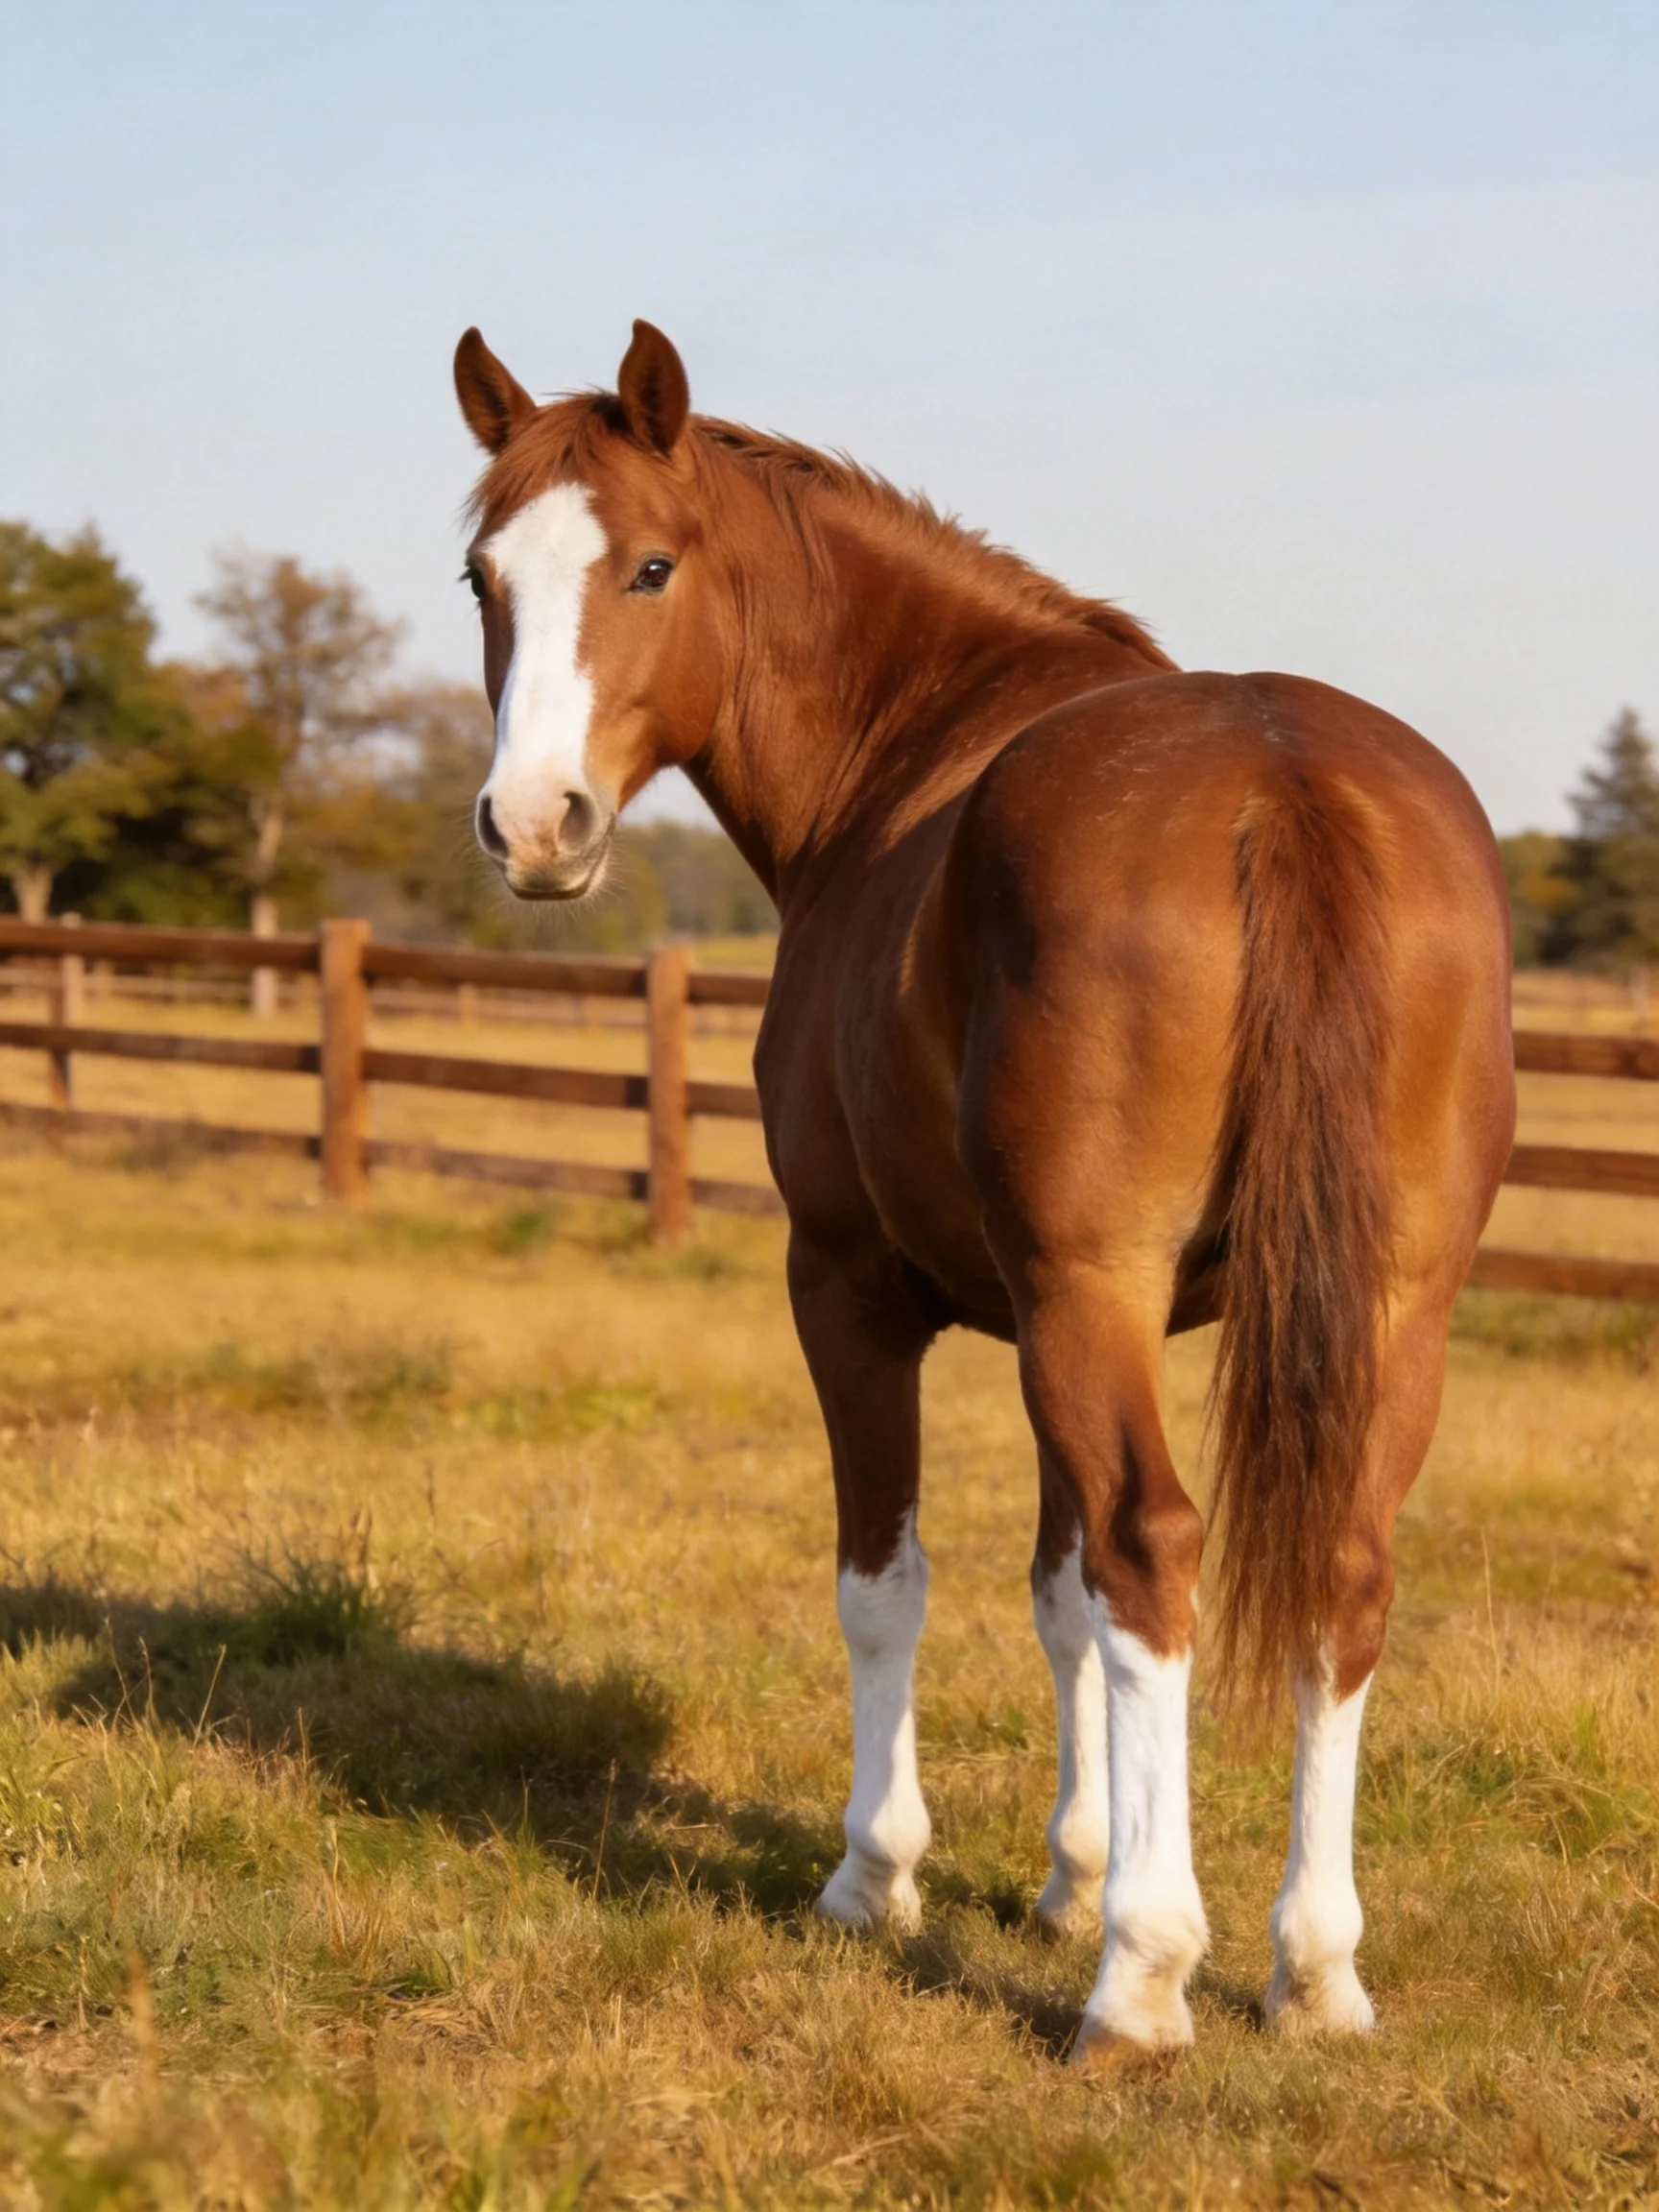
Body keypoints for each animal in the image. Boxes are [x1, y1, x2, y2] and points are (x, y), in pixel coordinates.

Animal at [450, 318, 1516, 2068]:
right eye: (483, 576)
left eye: (652, 565)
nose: (534, 825)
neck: (904, 759)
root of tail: (1280, 780)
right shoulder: (1046, 1318)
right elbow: (1059, 1594)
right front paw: (1068, 1872)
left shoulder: (856, 1287)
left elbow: (891, 1582)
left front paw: (876, 1876)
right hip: (1382, 1308)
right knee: (1338, 1576)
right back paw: (1311, 1970)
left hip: (1092, 1295)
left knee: (1159, 1548)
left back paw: (1145, 1979)